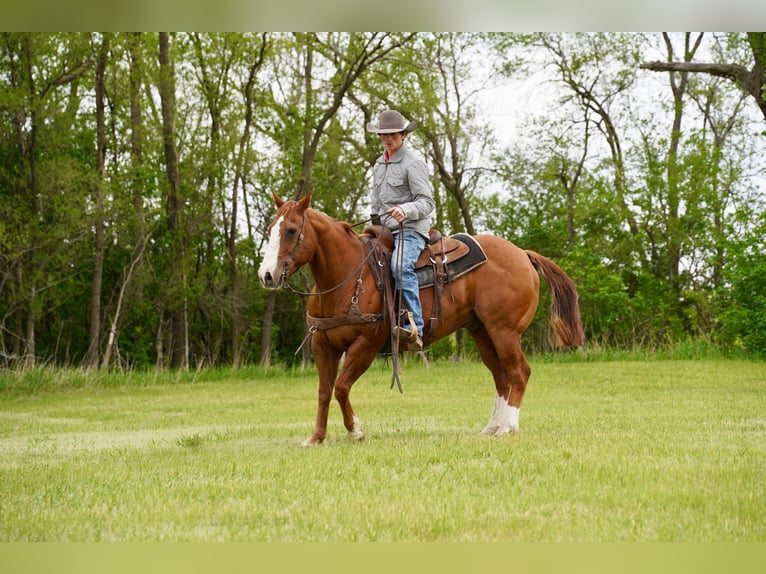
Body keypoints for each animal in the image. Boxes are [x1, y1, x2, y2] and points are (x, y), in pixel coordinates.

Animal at [258, 192, 584, 446]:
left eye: (291, 230)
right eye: (271, 228)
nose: (266, 275)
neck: (348, 276)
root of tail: (523, 254)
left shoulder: (366, 345)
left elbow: (341, 387)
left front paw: (355, 431)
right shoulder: (323, 347)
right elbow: (325, 391)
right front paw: (316, 437)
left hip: (505, 331)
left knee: (519, 373)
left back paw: (508, 427)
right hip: (482, 332)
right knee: (501, 376)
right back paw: (492, 427)